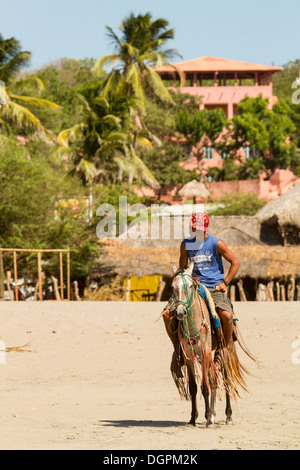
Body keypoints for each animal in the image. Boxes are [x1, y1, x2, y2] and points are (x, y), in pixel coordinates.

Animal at [165, 258, 254, 428]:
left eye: (191, 286)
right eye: (172, 287)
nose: (180, 312)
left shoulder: (205, 352)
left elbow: (206, 385)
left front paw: (208, 417)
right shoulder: (189, 355)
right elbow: (194, 387)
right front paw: (193, 419)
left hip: (226, 348)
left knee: (225, 378)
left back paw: (227, 416)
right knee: (213, 377)